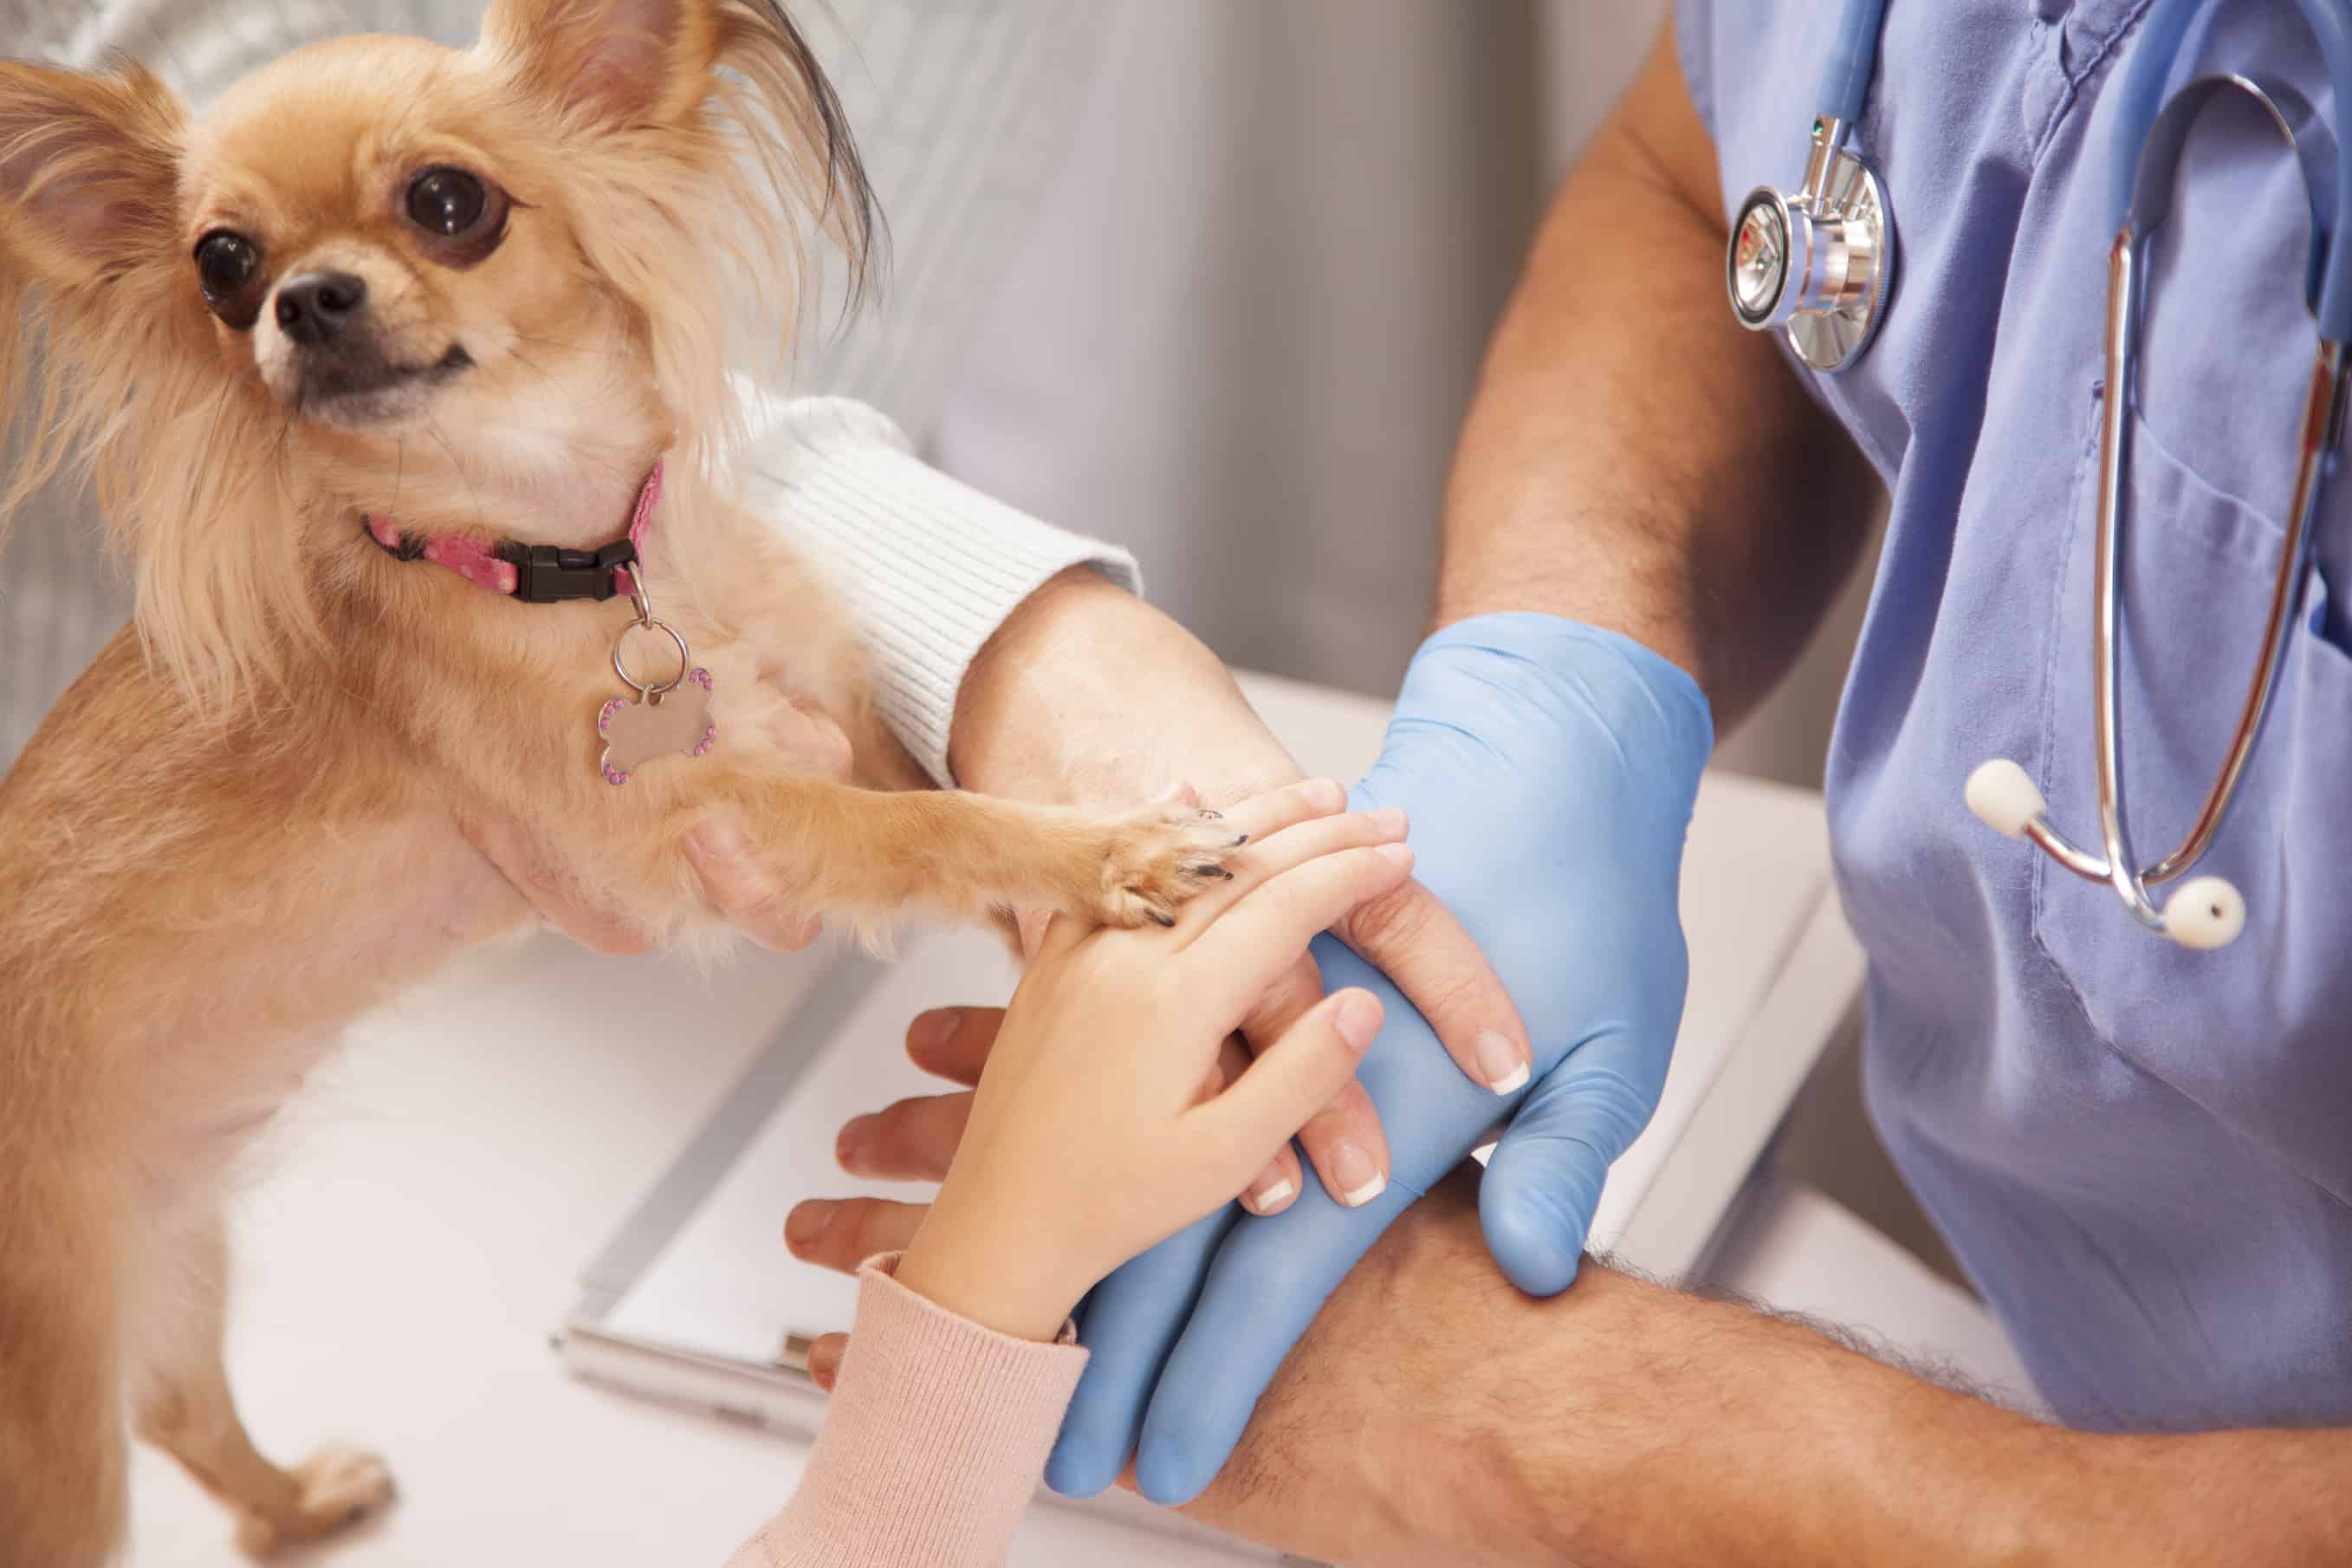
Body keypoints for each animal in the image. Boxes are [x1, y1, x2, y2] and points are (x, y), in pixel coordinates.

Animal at [0, 6, 1241, 1560]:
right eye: (221, 264)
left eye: (448, 202)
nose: (305, 299)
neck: (571, 557)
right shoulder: (704, 825)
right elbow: (933, 826)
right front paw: (1110, 855)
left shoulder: (829, 711)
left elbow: (935, 786)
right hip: (52, 1398)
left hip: (167, 1247)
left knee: (178, 1408)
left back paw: (301, 1504)